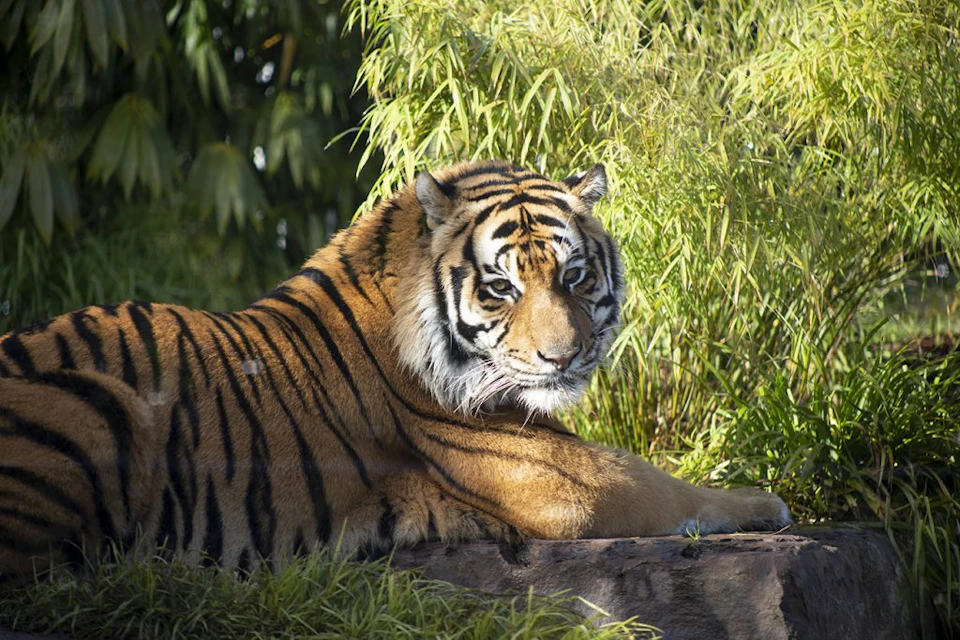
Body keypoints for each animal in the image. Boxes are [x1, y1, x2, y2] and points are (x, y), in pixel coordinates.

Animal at [0, 161, 791, 581]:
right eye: (500, 287)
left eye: (572, 275)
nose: (562, 357)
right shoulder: (560, 481)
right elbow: (664, 484)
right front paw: (763, 503)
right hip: (97, 405)